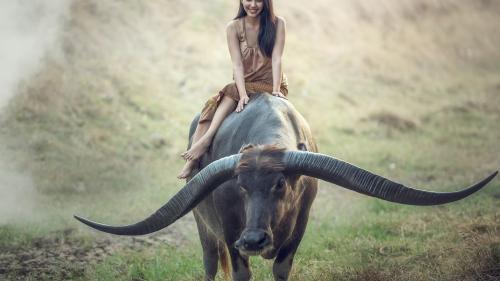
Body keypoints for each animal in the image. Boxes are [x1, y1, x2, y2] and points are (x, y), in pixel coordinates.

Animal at [76, 92, 498, 280]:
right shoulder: (230, 230)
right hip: (202, 227)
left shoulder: (299, 227)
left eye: (281, 183)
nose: (254, 240)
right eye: (240, 186)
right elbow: (240, 271)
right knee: (210, 263)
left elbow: (282, 267)